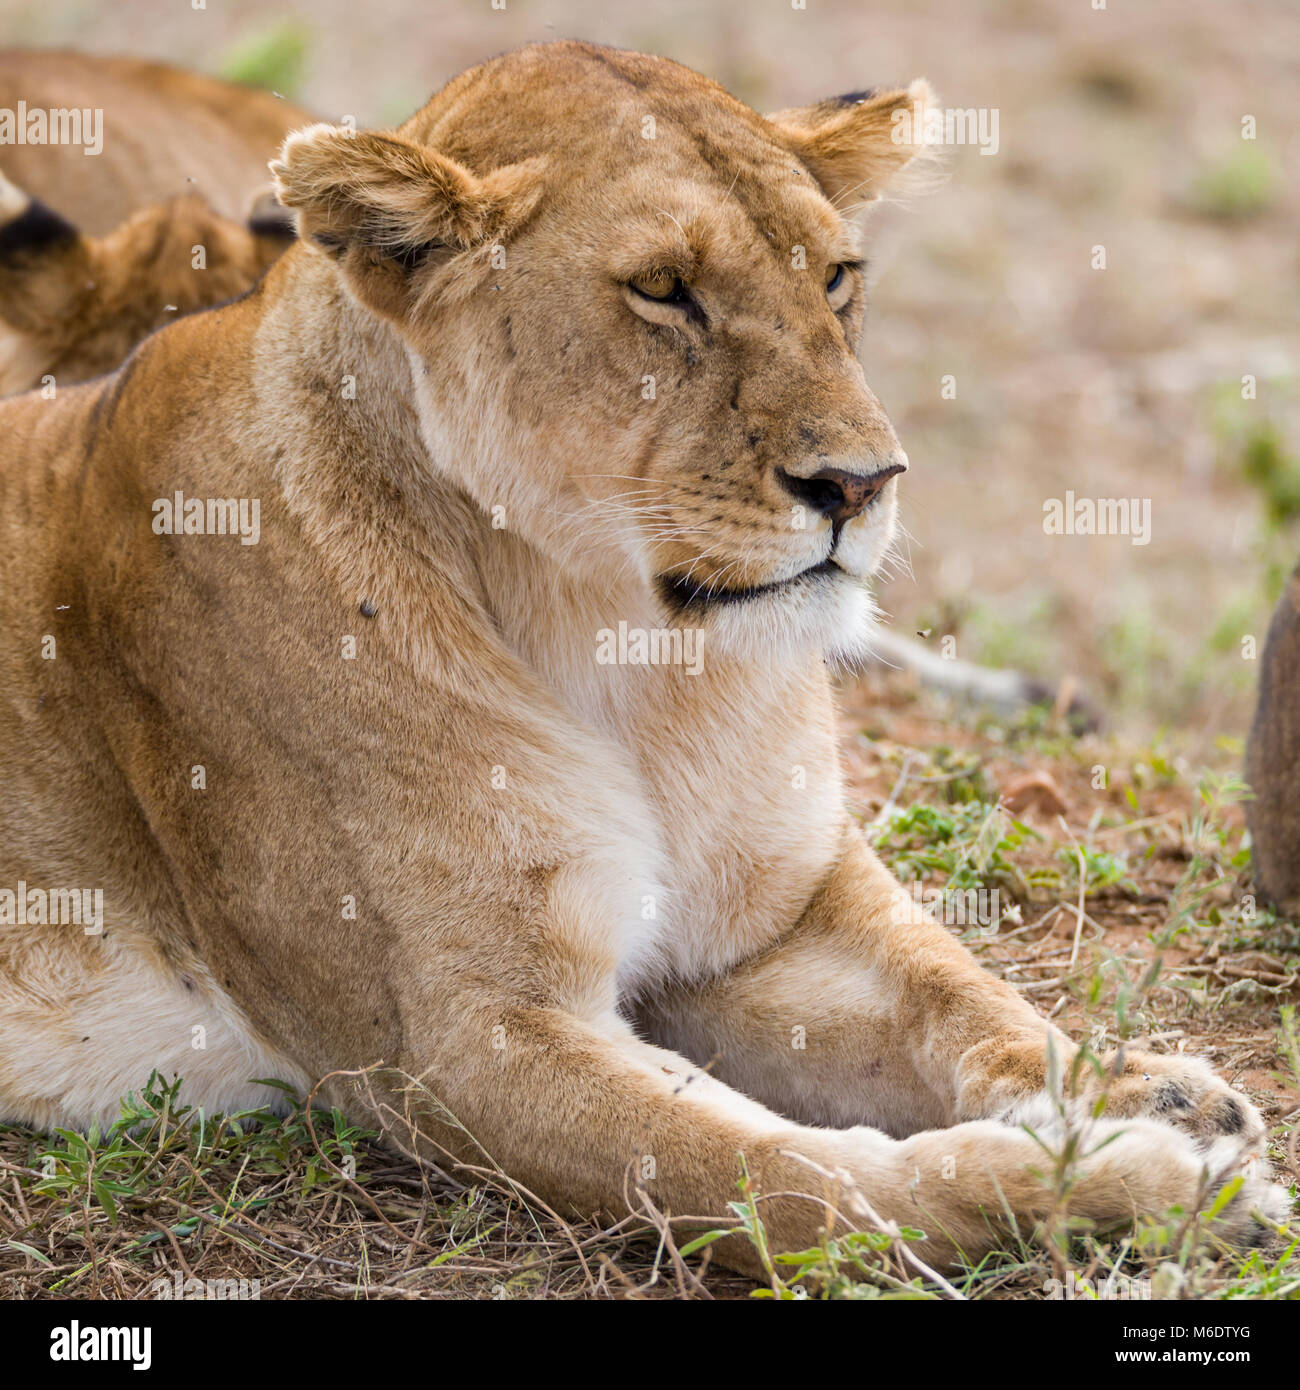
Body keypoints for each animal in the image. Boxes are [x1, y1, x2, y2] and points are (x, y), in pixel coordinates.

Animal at [0, 42, 1287, 1277]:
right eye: (665, 291)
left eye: (835, 277)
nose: (861, 483)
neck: (633, 656)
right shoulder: (460, 1045)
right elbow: (792, 1182)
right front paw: (1147, 1196)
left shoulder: (772, 918)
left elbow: (960, 994)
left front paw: (1154, 1097)